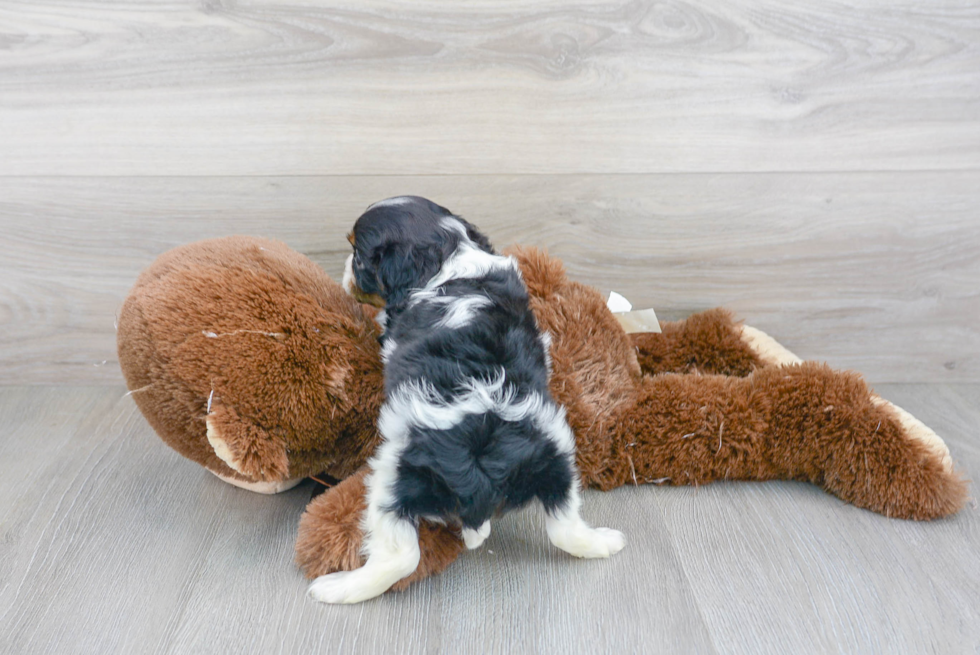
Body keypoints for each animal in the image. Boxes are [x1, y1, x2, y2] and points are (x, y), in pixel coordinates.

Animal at [310, 196, 624, 604]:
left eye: (359, 256)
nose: (346, 269)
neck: (450, 261)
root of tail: (480, 467)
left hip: (395, 476)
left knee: (400, 556)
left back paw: (337, 587)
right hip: (556, 455)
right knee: (564, 525)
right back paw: (605, 541)